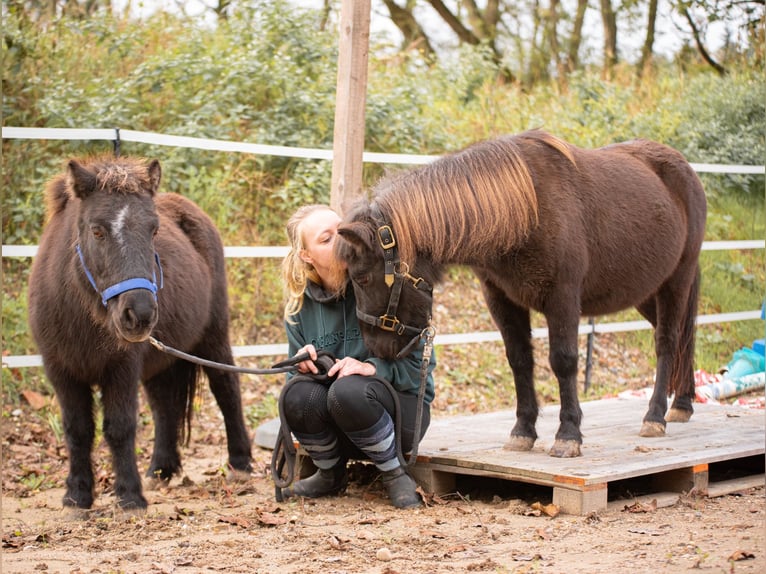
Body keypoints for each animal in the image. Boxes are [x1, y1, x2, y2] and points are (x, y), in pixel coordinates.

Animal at [28, 155, 252, 510]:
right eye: (97, 230)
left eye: (154, 230)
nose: (141, 314)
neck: (82, 316)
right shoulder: (61, 371)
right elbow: (77, 430)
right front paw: (77, 495)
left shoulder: (122, 368)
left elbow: (120, 427)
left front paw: (130, 496)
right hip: (161, 361)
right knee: (164, 407)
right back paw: (161, 469)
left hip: (213, 337)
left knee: (226, 389)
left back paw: (240, 464)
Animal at [336, 129, 708, 460]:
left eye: (362, 278)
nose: (378, 350)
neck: (528, 211)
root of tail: (684, 169)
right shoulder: (501, 299)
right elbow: (519, 360)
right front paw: (523, 432)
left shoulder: (563, 298)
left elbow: (563, 361)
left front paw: (568, 435)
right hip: (647, 291)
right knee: (683, 338)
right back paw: (682, 404)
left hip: (676, 280)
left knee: (667, 341)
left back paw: (655, 416)